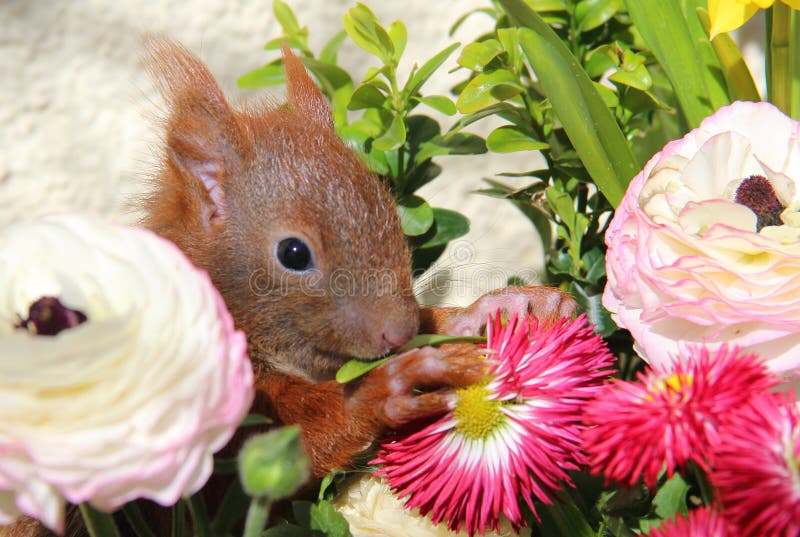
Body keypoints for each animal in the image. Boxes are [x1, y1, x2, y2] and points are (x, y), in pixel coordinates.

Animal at [4, 39, 576, 536]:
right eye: (294, 254)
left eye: (391, 210)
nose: (395, 333)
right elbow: (282, 446)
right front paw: (391, 385)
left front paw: (505, 305)